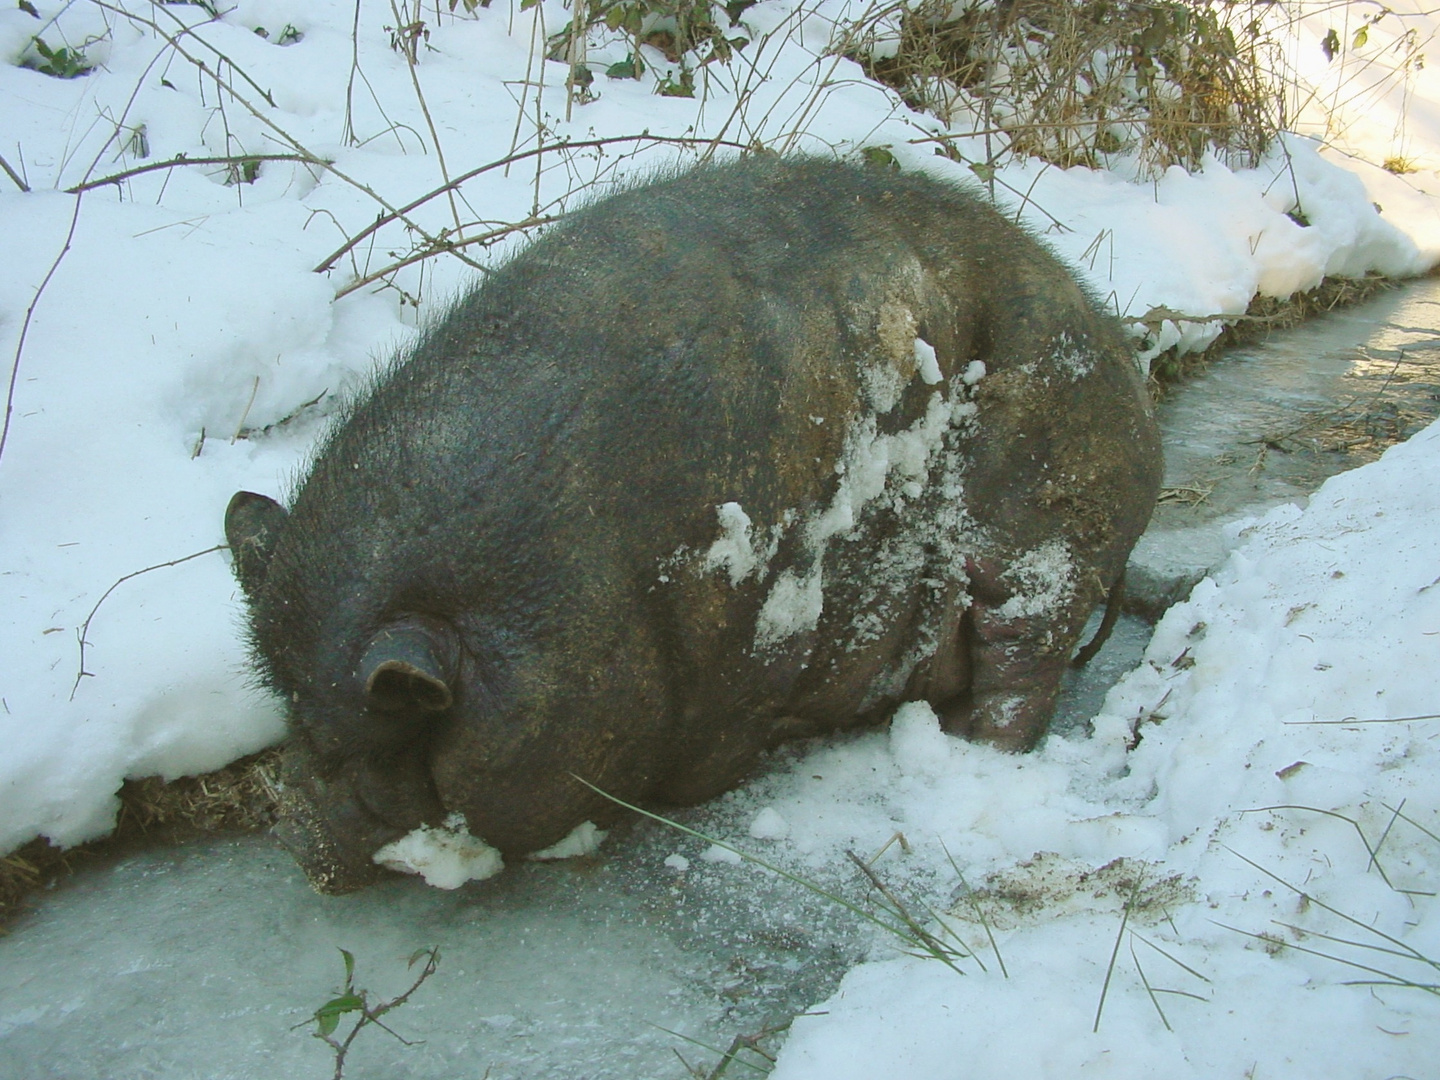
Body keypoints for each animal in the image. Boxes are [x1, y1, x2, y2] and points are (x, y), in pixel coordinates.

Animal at [230, 154, 1163, 898]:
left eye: (365, 740)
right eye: (290, 712)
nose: (290, 833)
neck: (599, 572)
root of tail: (1126, 365)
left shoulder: (738, 663)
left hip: (1053, 533)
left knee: (1024, 661)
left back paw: (969, 749)